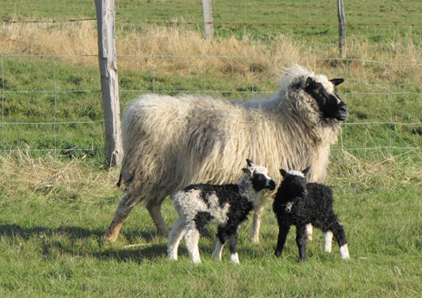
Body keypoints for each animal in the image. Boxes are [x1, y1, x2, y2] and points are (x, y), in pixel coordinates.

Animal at [104, 64, 348, 242]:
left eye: (333, 89)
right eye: (317, 90)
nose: (344, 109)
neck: (288, 120)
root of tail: (139, 111)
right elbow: (259, 211)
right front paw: (255, 239)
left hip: (166, 173)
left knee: (152, 204)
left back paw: (163, 233)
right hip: (146, 168)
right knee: (127, 203)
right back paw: (110, 236)